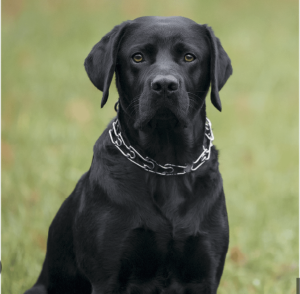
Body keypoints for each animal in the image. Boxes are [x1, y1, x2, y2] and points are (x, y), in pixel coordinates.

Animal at [25, 16, 232, 294]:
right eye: (137, 57)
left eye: (189, 57)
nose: (164, 85)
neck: (167, 165)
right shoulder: (108, 278)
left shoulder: (204, 275)